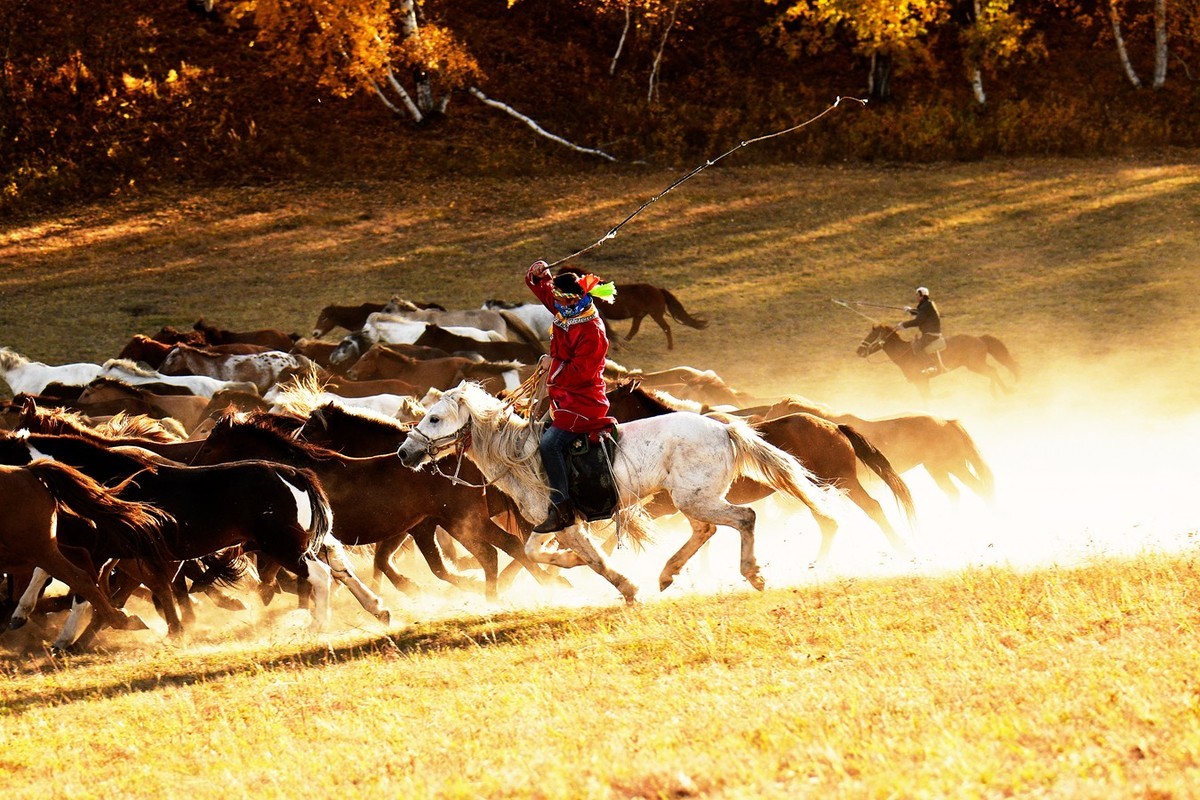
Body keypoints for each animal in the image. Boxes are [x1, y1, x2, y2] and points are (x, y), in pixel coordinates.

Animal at [854, 323, 1022, 400]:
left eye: (871, 335)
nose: (859, 351)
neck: (905, 353)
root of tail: (979, 339)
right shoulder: (922, 382)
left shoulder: (921, 381)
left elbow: (926, 398)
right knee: (992, 371)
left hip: (975, 365)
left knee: (992, 371)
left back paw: (1004, 392)